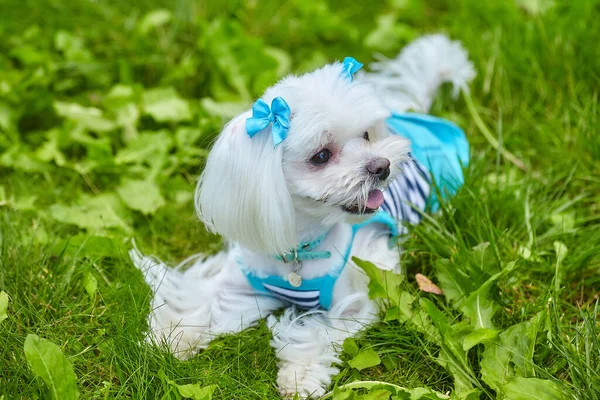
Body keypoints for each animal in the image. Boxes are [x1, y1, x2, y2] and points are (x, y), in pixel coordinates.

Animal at [130, 33, 474, 396]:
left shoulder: (358, 298)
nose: (382, 166)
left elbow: (318, 334)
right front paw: (174, 336)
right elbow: (202, 298)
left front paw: (298, 376)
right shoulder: (239, 281)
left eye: (367, 135)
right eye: (321, 156)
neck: (301, 246)